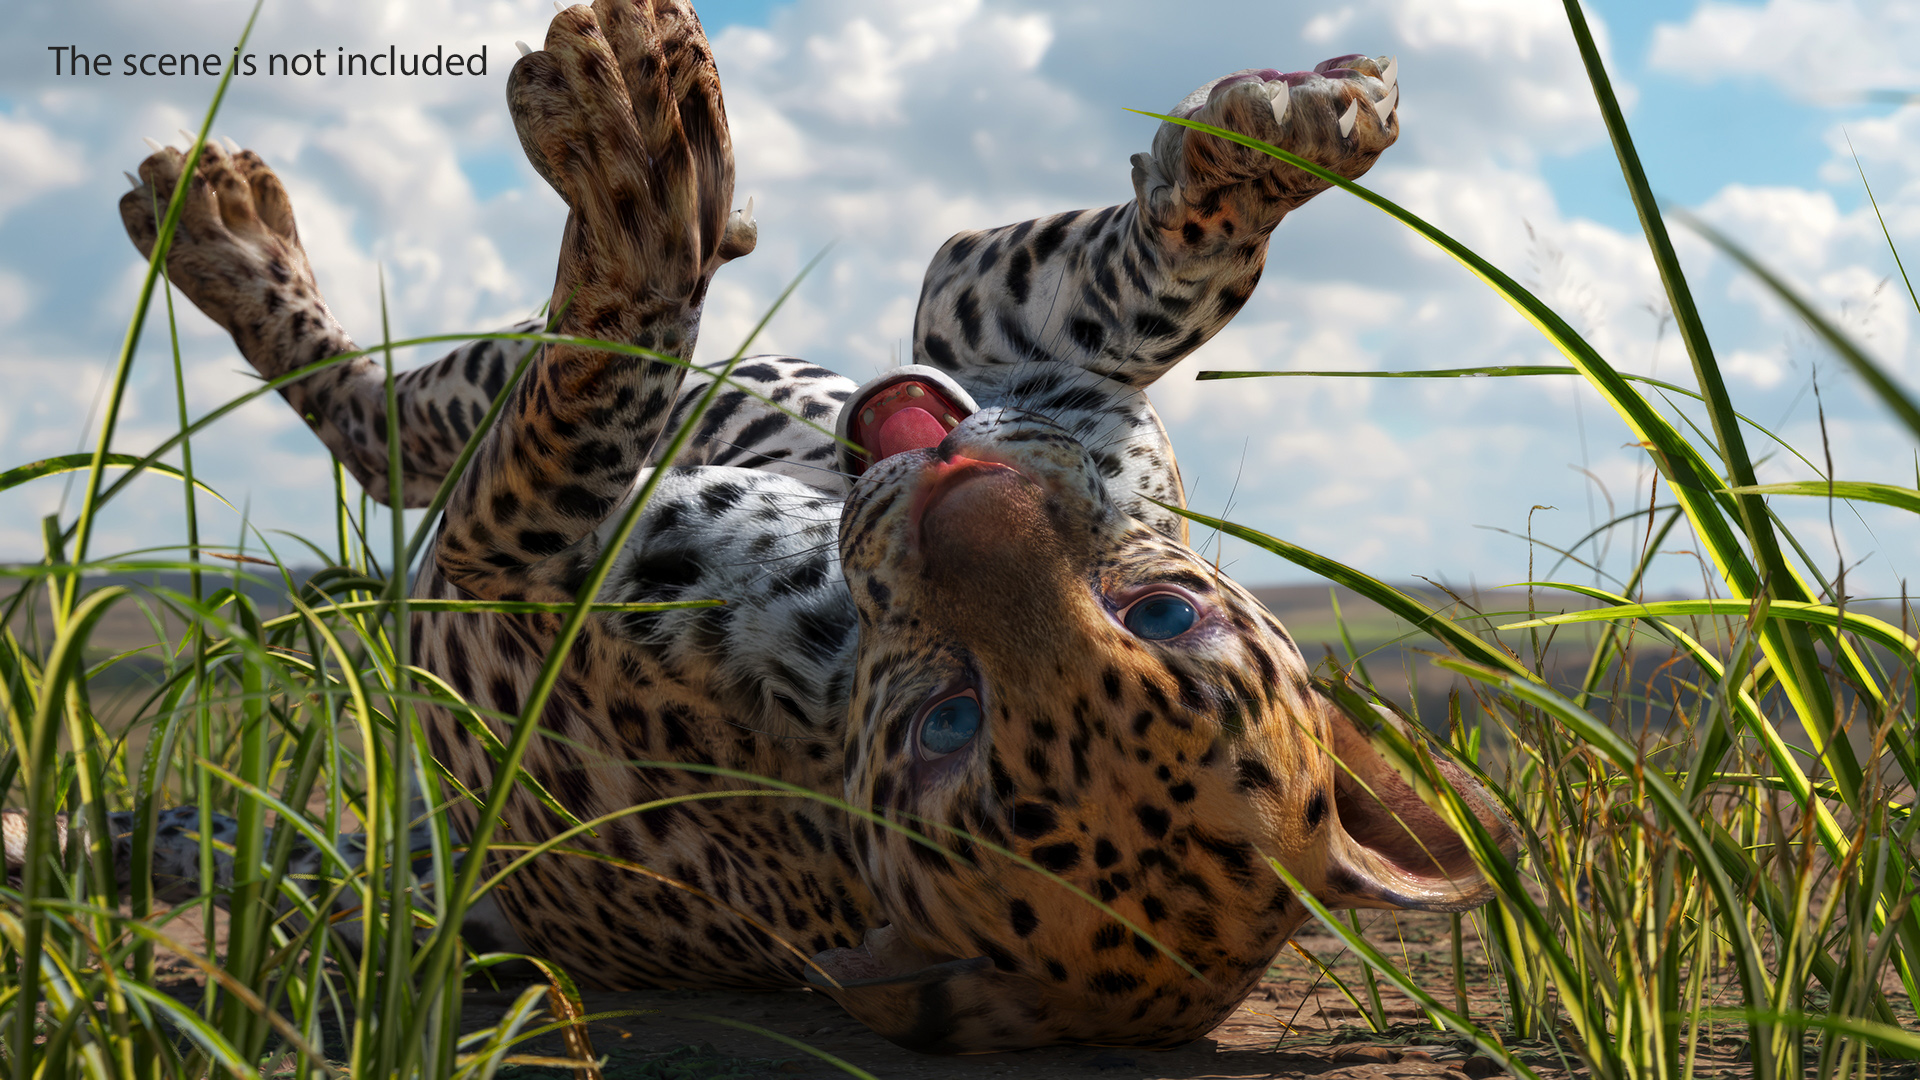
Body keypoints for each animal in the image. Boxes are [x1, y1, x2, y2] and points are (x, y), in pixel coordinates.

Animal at [11, 0, 1512, 1045]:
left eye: (950, 729)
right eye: (1164, 611)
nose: (967, 493)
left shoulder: (487, 594)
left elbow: (591, 381)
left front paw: (631, 160)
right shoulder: (1004, 345)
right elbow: (1157, 272)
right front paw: (1306, 119)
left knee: (397, 432)